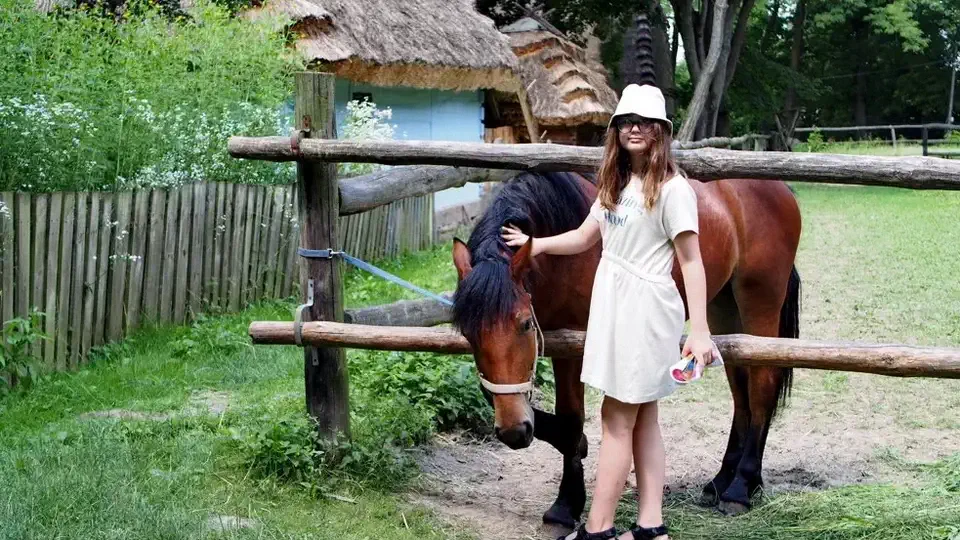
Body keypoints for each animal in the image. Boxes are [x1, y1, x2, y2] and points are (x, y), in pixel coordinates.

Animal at [450, 170, 801, 525]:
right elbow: (505, 397)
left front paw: (566, 505)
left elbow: (570, 417)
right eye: (468, 334)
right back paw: (721, 481)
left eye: (523, 324)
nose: (513, 432)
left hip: (760, 301)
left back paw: (741, 487)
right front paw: (576, 458)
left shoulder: (573, 344)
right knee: (741, 391)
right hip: (721, 309)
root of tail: (779, 188)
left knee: (762, 386)